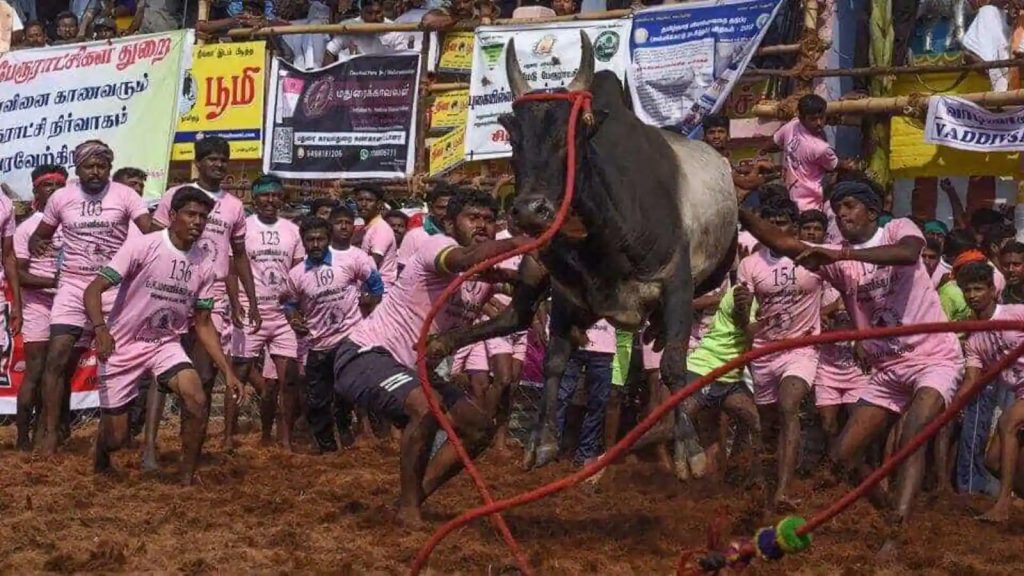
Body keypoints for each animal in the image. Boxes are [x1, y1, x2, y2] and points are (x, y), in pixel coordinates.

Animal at [428, 30, 741, 471]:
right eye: (514, 138)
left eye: (573, 133)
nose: (530, 210)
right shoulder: (566, 293)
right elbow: (555, 362)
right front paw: (541, 441)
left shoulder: (676, 282)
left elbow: (674, 368)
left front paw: (691, 449)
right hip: (533, 269)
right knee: (514, 315)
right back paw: (441, 343)